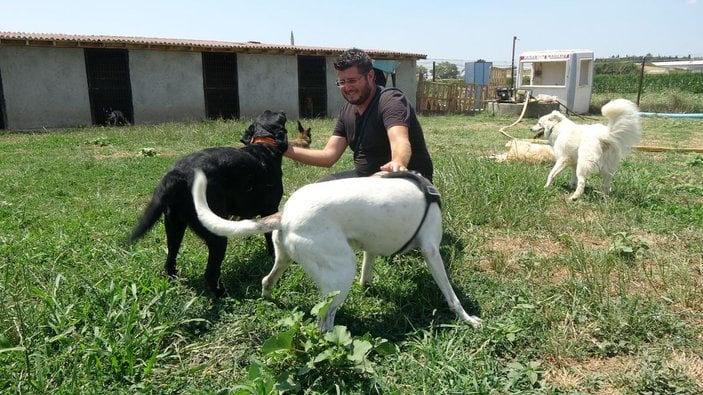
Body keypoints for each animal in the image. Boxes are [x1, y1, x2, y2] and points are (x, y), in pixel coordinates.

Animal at [129, 110, 288, 296]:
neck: (264, 143)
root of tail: (179, 174)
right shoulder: (270, 210)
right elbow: (270, 237)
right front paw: (272, 256)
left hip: (173, 226)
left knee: (170, 259)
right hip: (216, 235)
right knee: (210, 273)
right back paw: (223, 294)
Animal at [190, 169, 484, 332]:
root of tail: (285, 214)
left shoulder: (370, 249)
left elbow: (367, 271)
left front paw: (369, 287)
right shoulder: (432, 251)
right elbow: (451, 295)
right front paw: (467, 319)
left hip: (285, 259)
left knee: (267, 280)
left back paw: (270, 300)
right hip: (341, 273)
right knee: (324, 323)